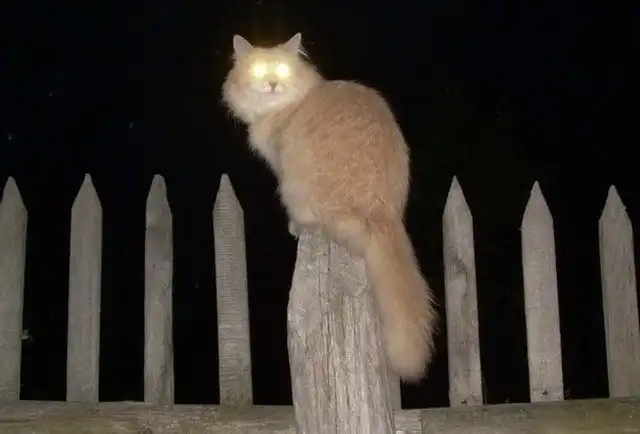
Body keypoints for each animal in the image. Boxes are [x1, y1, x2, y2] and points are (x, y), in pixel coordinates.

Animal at [221, 32, 437, 382]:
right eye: (259, 71)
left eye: (282, 69)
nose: (272, 84)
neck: (284, 109)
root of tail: (381, 213)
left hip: (296, 189)